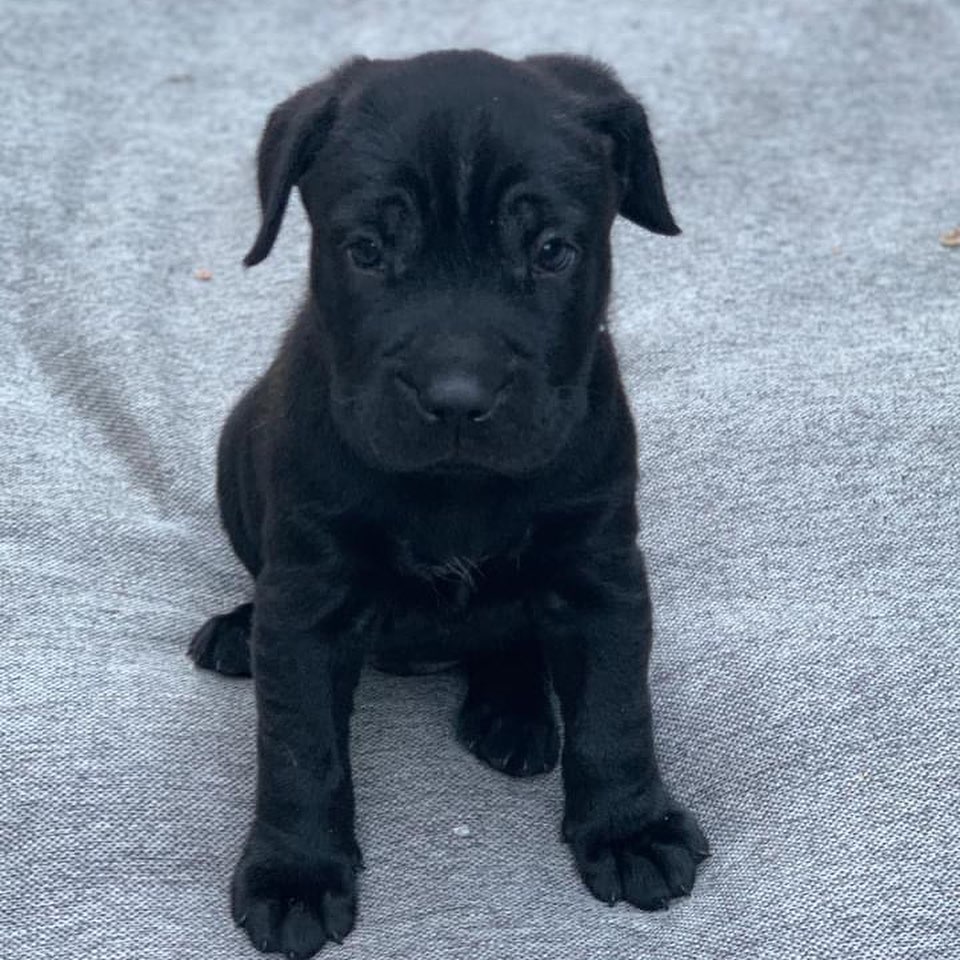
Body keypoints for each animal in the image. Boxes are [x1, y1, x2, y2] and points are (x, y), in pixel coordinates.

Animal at [191, 50, 708, 960]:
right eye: (366, 250)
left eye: (552, 251)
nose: (457, 396)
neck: (456, 490)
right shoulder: (309, 595)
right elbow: (298, 745)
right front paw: (295, 874)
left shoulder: (599, 572)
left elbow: (616, 711)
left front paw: (630, 828)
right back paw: (236, 632)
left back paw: (513, 710)